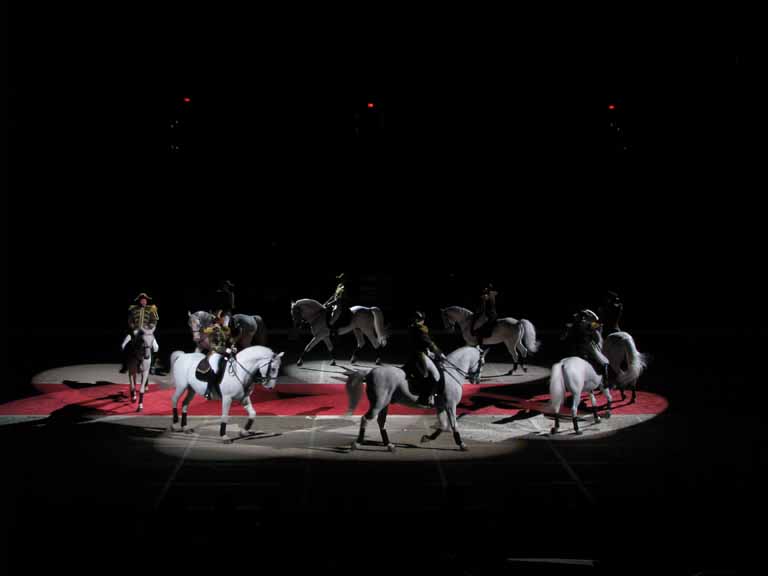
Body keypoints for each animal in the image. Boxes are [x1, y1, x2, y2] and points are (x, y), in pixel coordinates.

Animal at [342, 346, 486, 450]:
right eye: (482, 363)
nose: (477, 381)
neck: (452, 373)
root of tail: (370, 372)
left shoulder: (441, 407)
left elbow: (443, 425)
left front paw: (426, 438)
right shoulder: (451, 405)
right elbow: (454, 424)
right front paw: (461, 444)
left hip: (384, 403)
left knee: (381, 422)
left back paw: (389, 445)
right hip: (378, 403)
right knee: (366, 419)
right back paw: (357, 444)